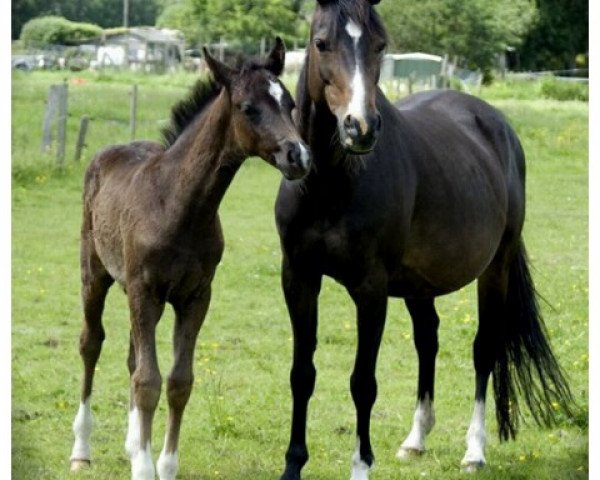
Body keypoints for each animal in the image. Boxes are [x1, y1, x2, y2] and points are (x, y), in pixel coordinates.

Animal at [71, 39, 310, 478]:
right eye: (248, 108)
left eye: (289, 104)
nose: (298, 155)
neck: (179, 205)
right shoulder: (145, 291)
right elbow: (148, 380)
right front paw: (144, 467)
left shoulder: (195, 296)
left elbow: (178, 380)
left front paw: (162, 464)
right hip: (95, 275)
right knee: (91, 344)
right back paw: (82, 449)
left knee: (131, 356)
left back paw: (132, 442)